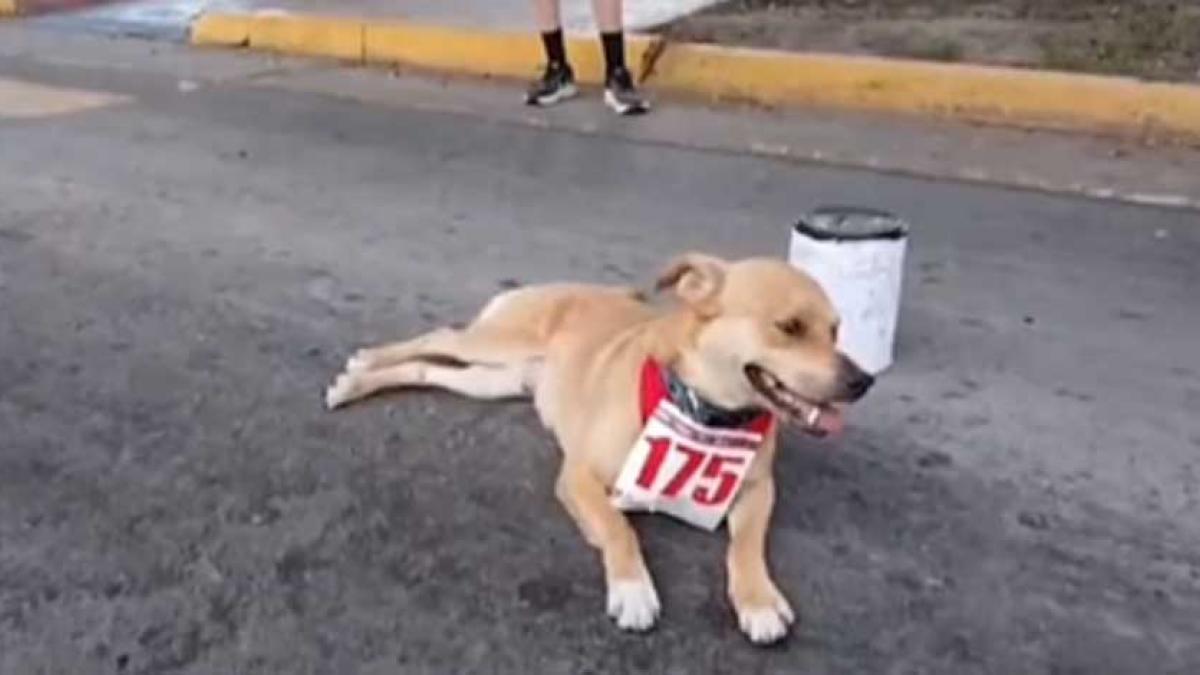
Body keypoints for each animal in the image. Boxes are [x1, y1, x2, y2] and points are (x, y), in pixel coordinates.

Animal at [326, 251, 873, 638]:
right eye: (789, 327)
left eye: (836, 330)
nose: (863, 381)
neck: (703, 409)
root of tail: (564, 285)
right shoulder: (579, 477)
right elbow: (618, 528)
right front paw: (633, 588)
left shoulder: (758, 491)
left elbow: (747, 547)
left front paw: (758, 599)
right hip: (497, 344)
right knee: (436, 338)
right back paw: (367, 361)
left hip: (495, 381)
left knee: (427, 371)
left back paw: (359, 383)